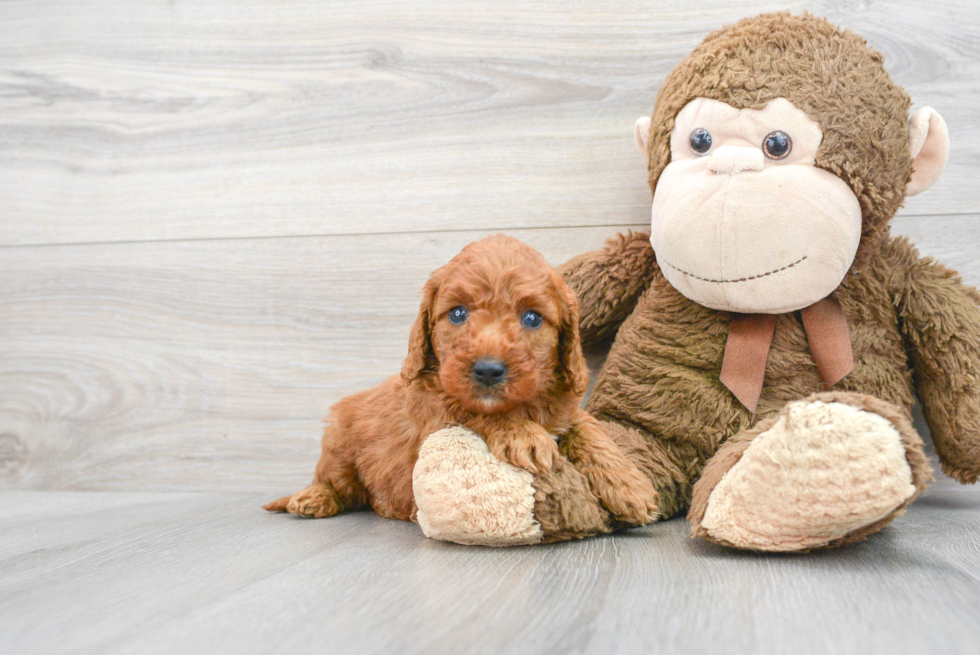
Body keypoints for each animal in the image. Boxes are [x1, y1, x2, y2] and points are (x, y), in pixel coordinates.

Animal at [264, 236, 660, 528]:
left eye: (532, 318)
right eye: (457, 313)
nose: (488, 370)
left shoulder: (565, 409)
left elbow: (590, 429)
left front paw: (631, 487)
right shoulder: (436, 411)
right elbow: (473, 411)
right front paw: (523, 434)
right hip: (339, 446)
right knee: (336, 483)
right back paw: (313, 497)